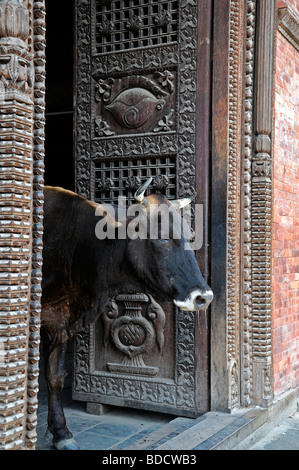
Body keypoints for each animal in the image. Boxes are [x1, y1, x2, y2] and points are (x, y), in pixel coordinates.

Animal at [41, 178, 213, 450]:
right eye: (161, 236)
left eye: (190, 236)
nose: (203, 297)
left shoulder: (60, 322)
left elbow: (55, 376)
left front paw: (61, 433)